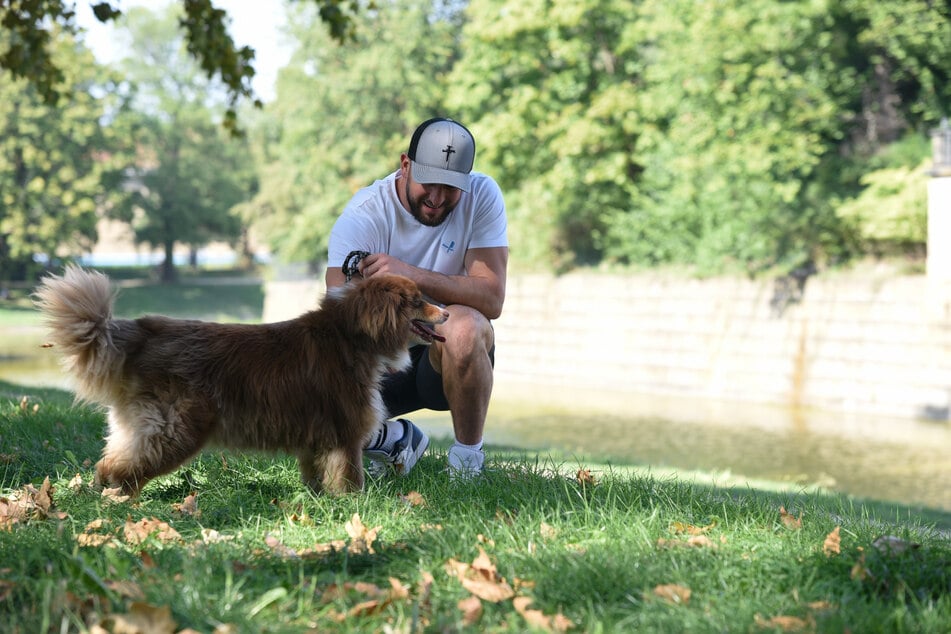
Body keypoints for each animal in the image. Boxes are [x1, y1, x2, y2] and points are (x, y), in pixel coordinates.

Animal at [36, 264, 450, 496]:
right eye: (417, 300)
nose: (446, 313)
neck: (352, 335)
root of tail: (141, 332)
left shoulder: (316, 439)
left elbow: (315, 477)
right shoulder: (344, 434)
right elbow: (351, 477)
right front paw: (355, 506)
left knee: (112, 461)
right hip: (175, 430)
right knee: (117, 469)